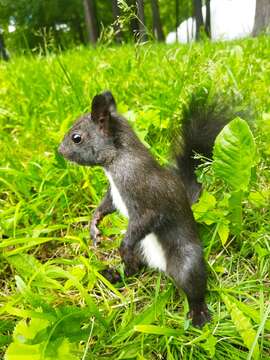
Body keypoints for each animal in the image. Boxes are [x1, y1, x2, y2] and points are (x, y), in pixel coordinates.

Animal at [58, 91, 231, 328]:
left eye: (77, 138)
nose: (59, 150)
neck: (117, 162)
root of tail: (161, 268)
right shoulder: (114, 194)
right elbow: (106, 206)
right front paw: (94, 227)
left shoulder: (145, 200)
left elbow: (146, 219)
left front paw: (121, 245)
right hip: (141, 250)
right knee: (134, 270)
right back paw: (114, 274)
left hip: (185, 261)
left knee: (192, 284)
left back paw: (198, 314)